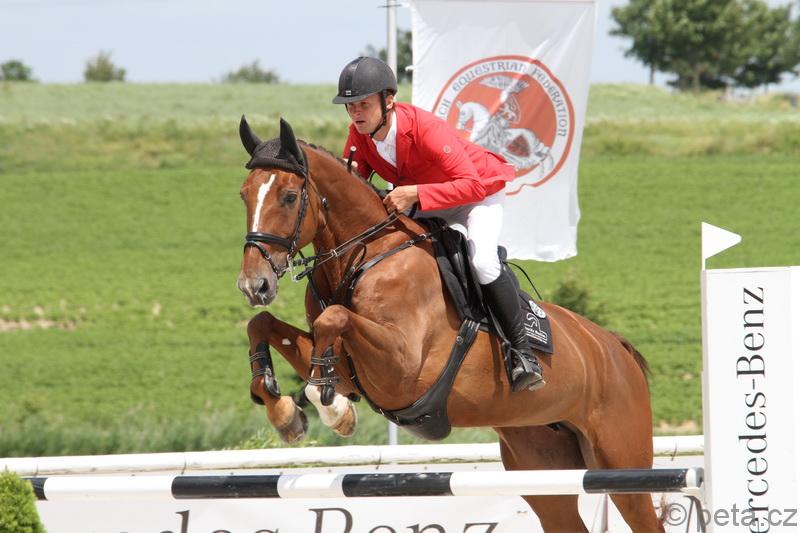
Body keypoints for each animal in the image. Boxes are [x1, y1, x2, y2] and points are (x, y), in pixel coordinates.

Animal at [236, 117, 663, 532]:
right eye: (244, 194)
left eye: (289, 197)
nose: (254, 285)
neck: (364, 255)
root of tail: (616, 348)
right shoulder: (350, 369)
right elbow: (264, 324)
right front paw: (286, 412)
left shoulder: (402, 370)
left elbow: (334, 318)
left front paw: (333, 410)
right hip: (539, 462)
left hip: (621, 463)